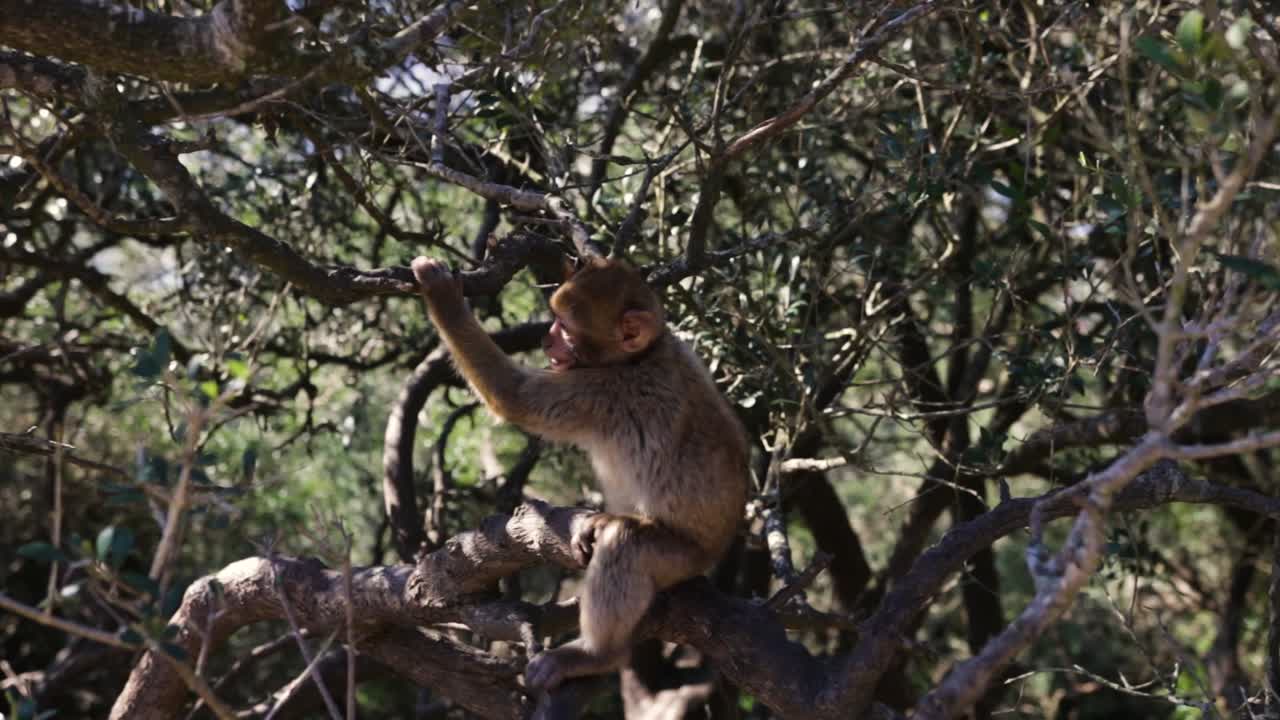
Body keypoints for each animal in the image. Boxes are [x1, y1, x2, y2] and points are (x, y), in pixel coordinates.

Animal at [411, 254, 749, 690]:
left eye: (566, 327)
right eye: (553, 319)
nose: (546, 341)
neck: (641, 355)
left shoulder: (605, 390)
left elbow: (513, 395)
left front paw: (442, 296)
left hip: (686, 557)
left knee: (628, 545)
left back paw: (597, 653)